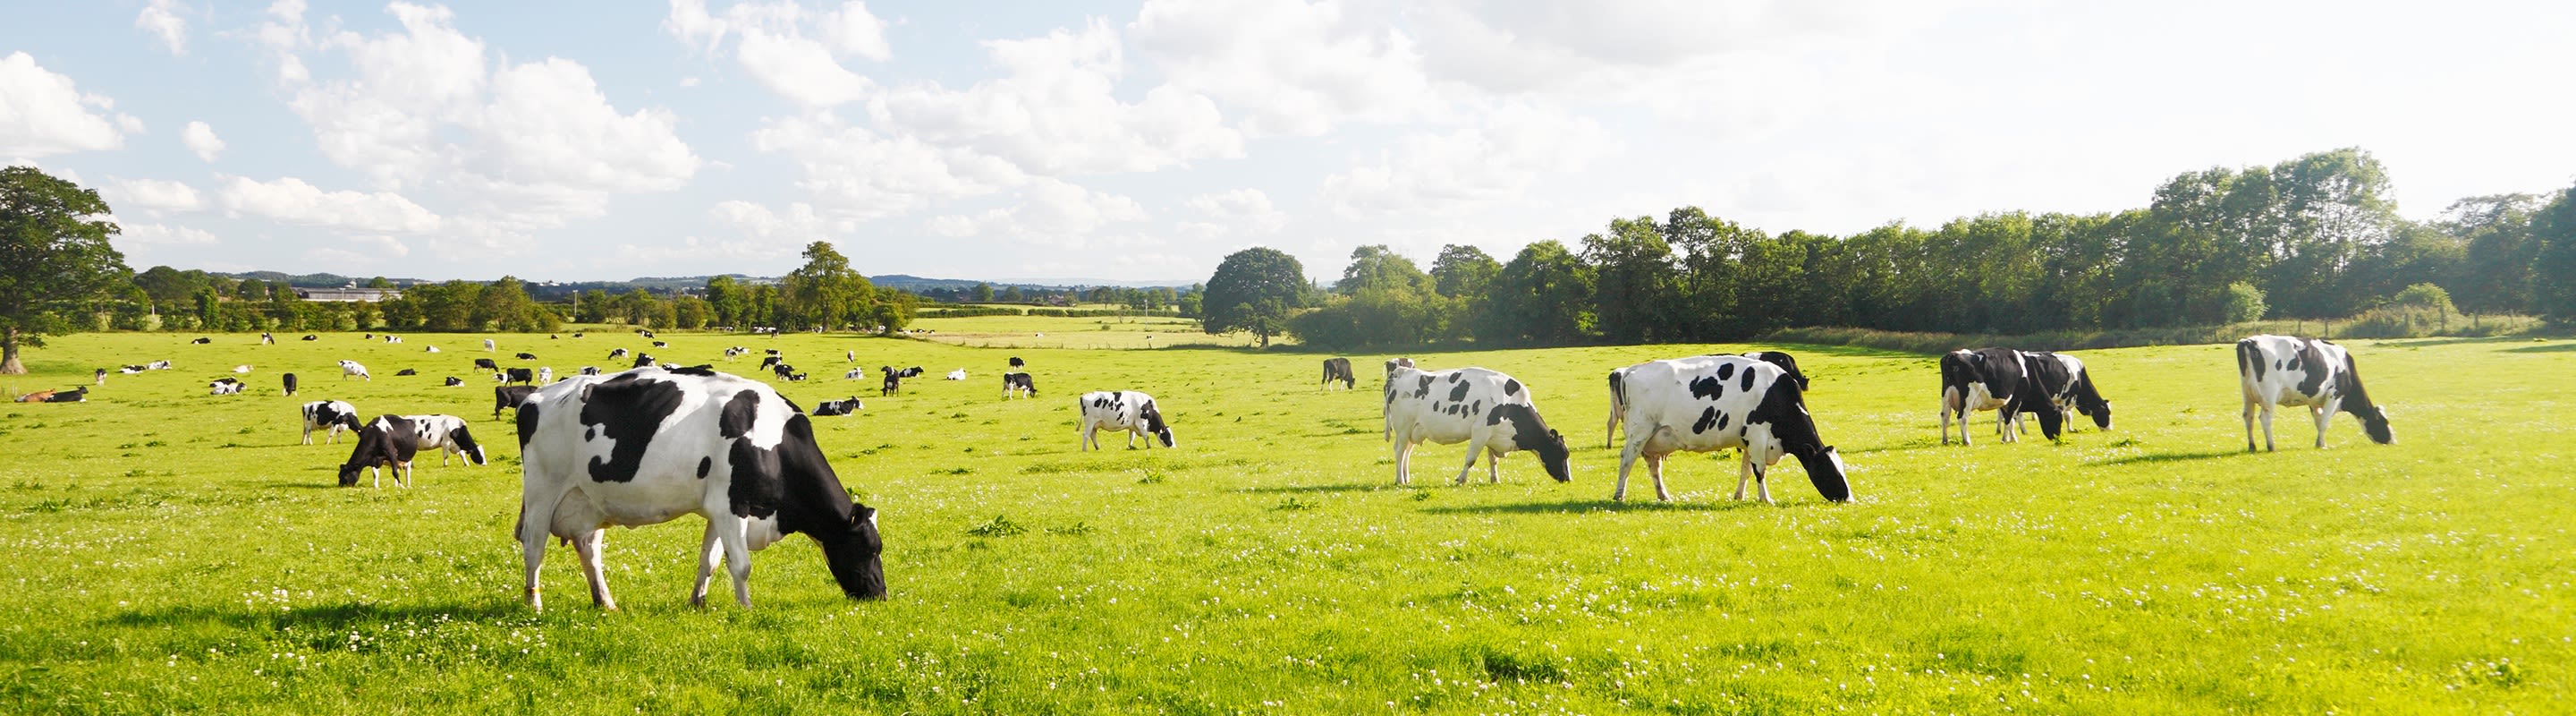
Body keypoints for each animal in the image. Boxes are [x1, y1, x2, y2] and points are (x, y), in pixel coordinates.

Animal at [517, 368, 891, 610]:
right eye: (870, 548)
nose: (880, 595)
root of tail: (535, 397)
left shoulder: (719, 509)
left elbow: (709, 561)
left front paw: (697, 602)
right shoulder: (732, 506)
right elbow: (741, 564)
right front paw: (746, 610)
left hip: (589, 500)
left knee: (589, 548)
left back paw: (606, 603)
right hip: (542, 493)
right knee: (534, 546)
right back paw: (534, 604)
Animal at [1391, 362, 1566, 486]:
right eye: (1562, 454)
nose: (1567, 478)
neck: (1509, 404)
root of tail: (1400, 372)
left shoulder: (1492, 436)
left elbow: (1493, 460)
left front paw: (1495, 479)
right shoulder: (1480, 432)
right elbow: (1471, 459)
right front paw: (1461, 479)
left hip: (1414, 431)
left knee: (1406, 453)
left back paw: (1406, 478)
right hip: (1403, 429)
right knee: (1399, 452)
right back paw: (1400, 480)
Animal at [1607, 353, 1854, 502]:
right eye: (1831, 470)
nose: (1849, 499)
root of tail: (1631, 370)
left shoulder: (1748, 440)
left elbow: (1746, 470)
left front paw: (1739, 495)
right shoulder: (1757, 436)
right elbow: (1759, 470)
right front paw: (1766, 499)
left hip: (1654, 438)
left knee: (1653, 465)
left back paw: (1664, 496)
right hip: (1640, 432)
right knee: (1626, 459)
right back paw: (1619, 495)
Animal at [1936, 347, 2061, 445]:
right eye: (2058, 420)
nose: (2057, 438)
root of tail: (1953, 355)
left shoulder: (2005, 402)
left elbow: (2010, 420)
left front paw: (2011, 438)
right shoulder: (2016, 398)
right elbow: (2009, 419)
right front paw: (2006, 439)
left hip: (1946, 395)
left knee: (1945, 416)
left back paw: (1945, 441)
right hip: (1969, 396)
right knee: (1962, 417)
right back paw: (1967, 441)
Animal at [2235, 332, 2390, 450]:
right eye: (2384, 421)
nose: (2392, 441)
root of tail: (2249, 341)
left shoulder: (2314, 400)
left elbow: (2318, 420)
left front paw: (2319, 443)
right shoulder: (2334, 395)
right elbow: (2324, 422)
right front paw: (2323, 446)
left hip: (2247, 394)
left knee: (2248, 417)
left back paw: (2252, 447)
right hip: (2269, 395)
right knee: (2265, 419)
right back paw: (2271, 447)